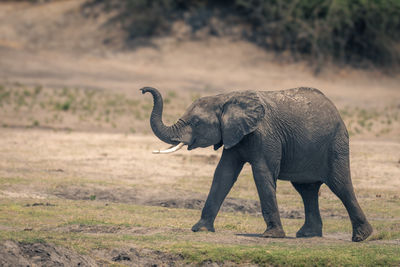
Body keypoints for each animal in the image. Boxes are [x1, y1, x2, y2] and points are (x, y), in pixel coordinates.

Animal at [140, 86, 372, 243]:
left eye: (196, 122)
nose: (143, 90)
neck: (226, 98)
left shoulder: (265, 135)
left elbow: (262, 173)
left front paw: (271, 236)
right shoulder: (235, 135)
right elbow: (223, 174)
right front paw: (200, 229)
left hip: (336, 143)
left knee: (340, 185)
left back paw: (362, 237)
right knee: (306, 190)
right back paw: (308, 235)